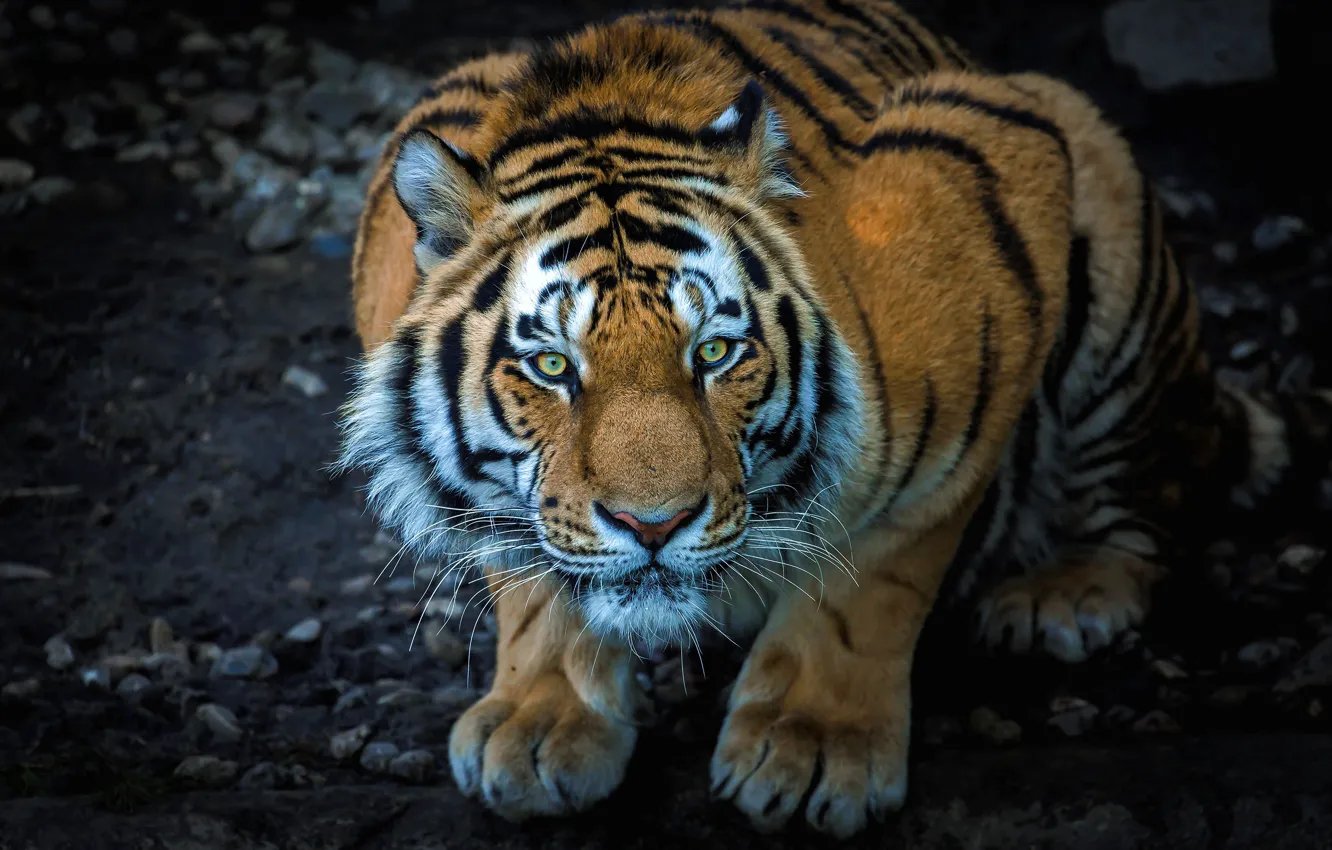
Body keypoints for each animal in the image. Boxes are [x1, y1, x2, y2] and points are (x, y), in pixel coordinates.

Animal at [337, 0, 1331, 838]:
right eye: (552, 367)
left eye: (714, 354)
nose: (654, 526)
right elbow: (532, 568)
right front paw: (541, 721)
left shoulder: (975, 317)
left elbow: (872, 576)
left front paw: (815, 748)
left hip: (1094, 190)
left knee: (1150, 492)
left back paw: (1066, 594)